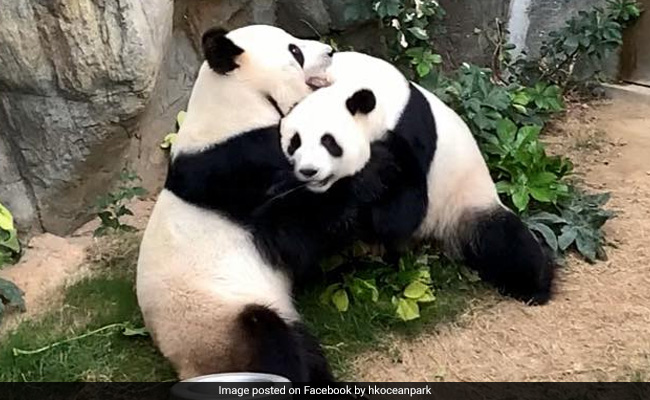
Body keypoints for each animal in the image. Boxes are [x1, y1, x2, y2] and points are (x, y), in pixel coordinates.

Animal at [136, 25, 336, 381]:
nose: (330, 51)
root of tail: (187, 368)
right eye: (295, 51)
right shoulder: (241, 166)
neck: (237, 103)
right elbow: (294, 234)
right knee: (271, 339)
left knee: (304, 346)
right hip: (219, 322)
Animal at [279, 51, 555, 305]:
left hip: (465, 203)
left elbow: (401, 213)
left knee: (504, 241)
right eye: (295, 142)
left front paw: (369, 177)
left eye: (329, 142)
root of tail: (434, 239)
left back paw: (534, 287)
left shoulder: (410, 133)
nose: (309, 171)